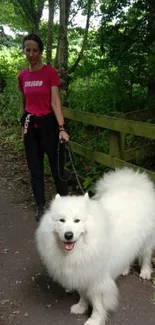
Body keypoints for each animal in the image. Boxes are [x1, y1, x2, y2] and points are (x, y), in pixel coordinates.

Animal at [35, 167, 155, 324]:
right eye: (61, 220)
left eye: (77, 220)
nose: (68, 235)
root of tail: (133, 183)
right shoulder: (82, 273)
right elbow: (82, 294)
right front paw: (81, 307)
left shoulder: (97, 279)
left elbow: (98, 302)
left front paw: (95, 319)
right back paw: (124, 269)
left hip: (147, 240)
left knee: (146, 255)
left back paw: (145, 272)